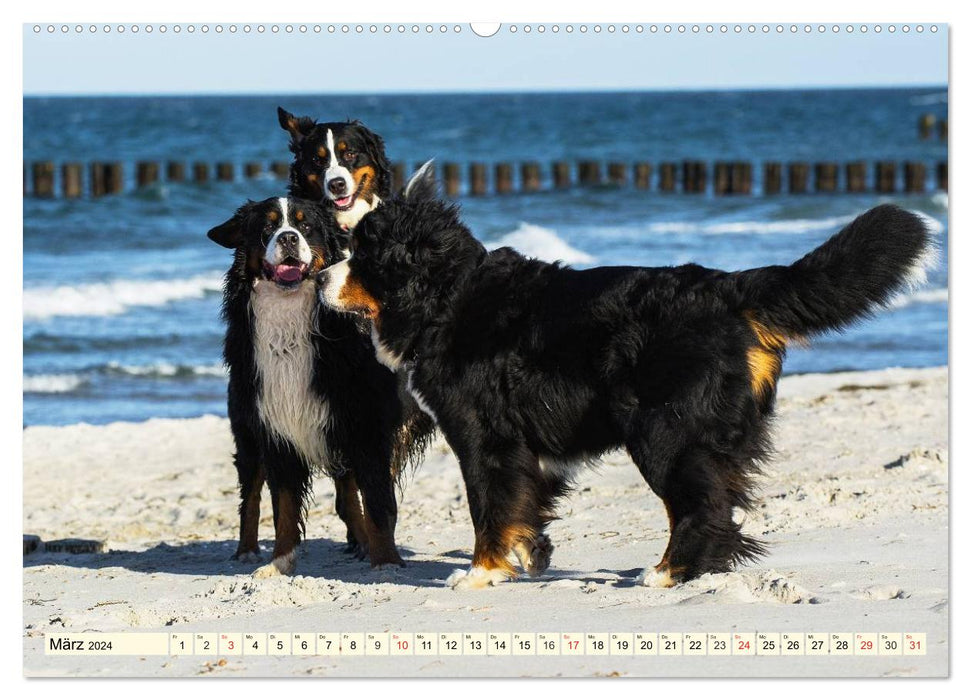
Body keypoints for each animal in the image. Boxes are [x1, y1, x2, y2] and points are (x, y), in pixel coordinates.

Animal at [207, 198, 428, 580]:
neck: (289, 321)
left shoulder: (366, 431)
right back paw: (246, 551)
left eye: (305, 226)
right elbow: (283, 508)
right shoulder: (276, 433)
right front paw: (279, 563)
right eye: (267, 227)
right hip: (247, 433)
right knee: (251, 496)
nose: (288, 238)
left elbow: (377, 502)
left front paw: (385, 561)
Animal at [318, 170, 936, 592]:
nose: (318, 275)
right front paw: (529, 556)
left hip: (665, 433)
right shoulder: (523, 448)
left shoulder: (482, 438)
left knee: (702, 504)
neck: (447, 296)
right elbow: (525, 503)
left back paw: (669, 572)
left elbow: (490, 507)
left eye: (364, 254)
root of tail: (727, 287)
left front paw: (481, 572)